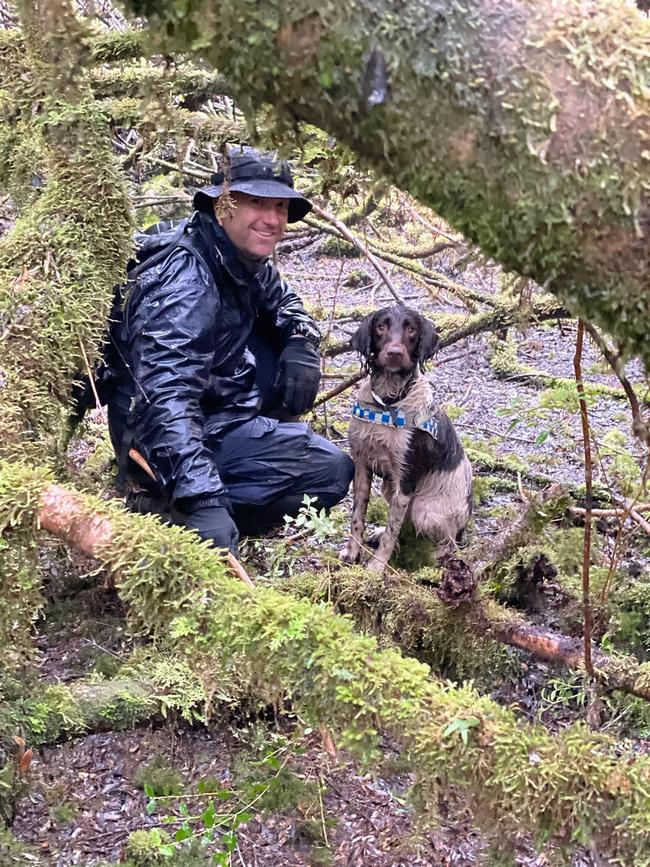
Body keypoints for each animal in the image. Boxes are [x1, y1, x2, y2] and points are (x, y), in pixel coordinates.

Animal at [340, 308, 470, 572]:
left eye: (411, 330)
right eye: (381, 327)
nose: (394, 353)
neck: (388, 403)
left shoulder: (405, 479)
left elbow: (393, 531)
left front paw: (377, 567)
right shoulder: (361, 466)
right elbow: (357, 517)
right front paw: (353, 553)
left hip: (424, 508)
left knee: (450, 543)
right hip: (389, 488)